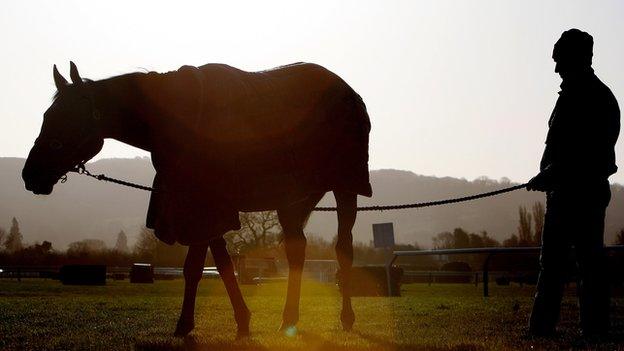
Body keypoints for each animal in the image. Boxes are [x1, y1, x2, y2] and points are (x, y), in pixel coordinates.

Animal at [22, 61, 372, 338]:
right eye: (47, 114)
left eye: (68, 116)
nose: (31, 174)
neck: (176, 118)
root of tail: (348, 91)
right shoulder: (200, 203)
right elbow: (222, 264)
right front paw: (242, 320)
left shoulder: (205, 204)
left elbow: (194, 267)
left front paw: (186, 323)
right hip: (292, 200)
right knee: (296, 250)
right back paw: (289, 319)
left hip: (345, 187)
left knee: (343, 249)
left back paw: (346, 317)